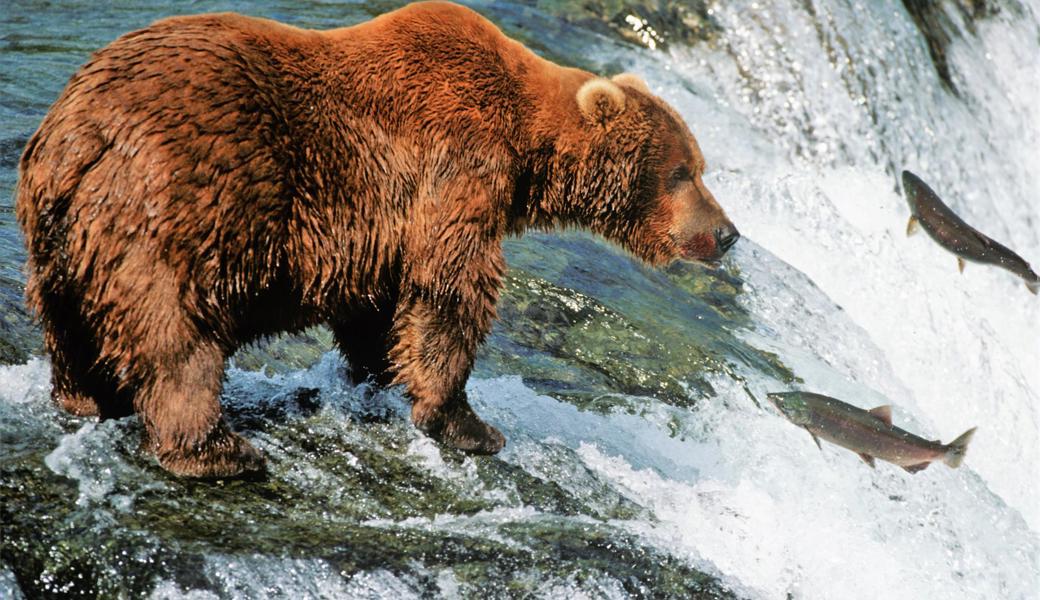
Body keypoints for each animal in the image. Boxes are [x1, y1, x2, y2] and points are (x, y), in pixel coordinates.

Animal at [14, 1, 732, 478]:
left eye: (700, 165)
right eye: (683, 171)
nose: (726, 234)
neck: (526, 147)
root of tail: (77, 130)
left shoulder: (381, 229)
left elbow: (380, 307)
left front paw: (381, 372)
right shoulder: (456, 167)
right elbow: (450, 291)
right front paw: (469, 424)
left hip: (60, 233)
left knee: (71, 321)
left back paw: (87, 397)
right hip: (183, 201)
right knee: (176, 329)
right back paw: (215, 450)